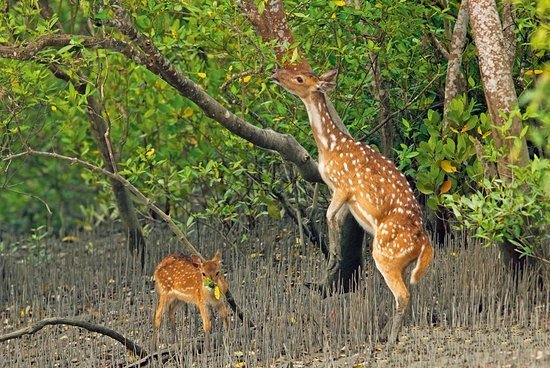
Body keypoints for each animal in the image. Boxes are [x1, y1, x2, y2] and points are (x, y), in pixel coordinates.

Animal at [274, 68, 434, 342]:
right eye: (296, 71)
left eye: (299, 78)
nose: (275, 73)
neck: (329, 147)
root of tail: (424, 244)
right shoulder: (346, 197)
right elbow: (336, 219)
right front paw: (334, 259)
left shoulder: (343, 185)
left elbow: (328, 216)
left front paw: (332, 258)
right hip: (402, 262)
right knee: (409, 292)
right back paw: (384, 331)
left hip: (386, 255)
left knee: (403, 295)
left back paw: (390, 338)